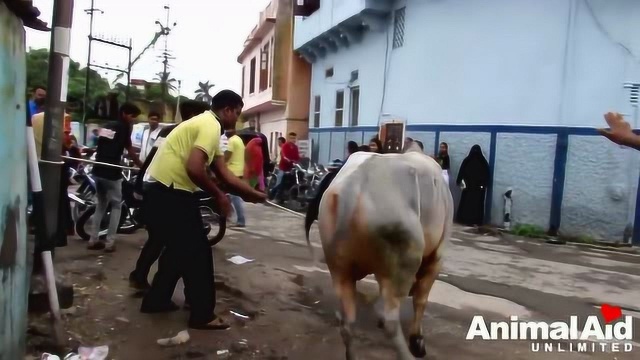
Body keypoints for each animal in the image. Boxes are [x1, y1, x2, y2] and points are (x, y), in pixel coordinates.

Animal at [312, 145, 452, 358]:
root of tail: (354, 187)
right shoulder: (437, 257)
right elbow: (421, 299)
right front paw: (418, 342)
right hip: (404, 262)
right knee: (389, 319)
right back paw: (406, 354)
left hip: (340, 269)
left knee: (347, 323)